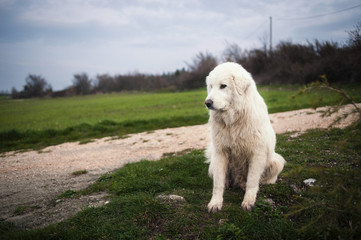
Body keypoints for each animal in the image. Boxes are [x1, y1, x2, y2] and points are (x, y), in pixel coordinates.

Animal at [202, 62, 284, 212]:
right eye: (211, 86)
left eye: (223, 86)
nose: (207, 103)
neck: (234, 120)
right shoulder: (220, 152)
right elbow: (218, 183)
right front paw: (215, 203)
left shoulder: (257, 153)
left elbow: (252, 181)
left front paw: (248, 201)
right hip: (214, 164)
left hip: (276, 161)